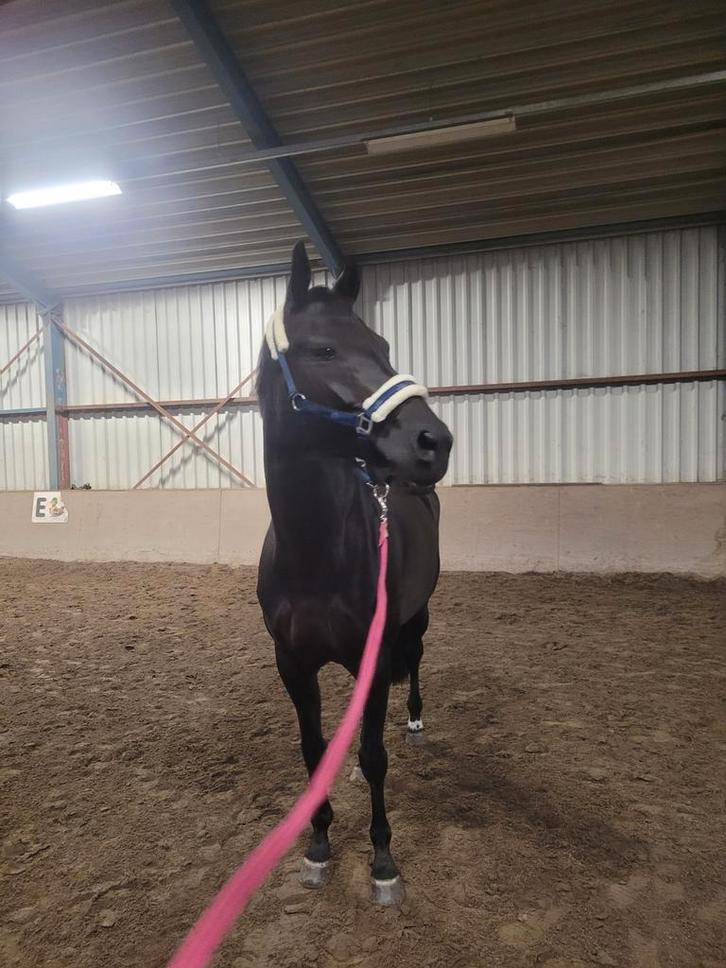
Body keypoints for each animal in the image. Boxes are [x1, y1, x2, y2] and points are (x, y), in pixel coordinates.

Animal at [256, 241, 453, 903]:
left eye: (384, 345)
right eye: (323, 350)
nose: (434, 441)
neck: (316, 554)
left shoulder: (375, 650)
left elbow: (372, 755)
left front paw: (383, 860)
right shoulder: (292, 663)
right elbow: (315, 752)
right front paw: (317, 844)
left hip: (416, 617)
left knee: (415, 661)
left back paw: (413, 715)